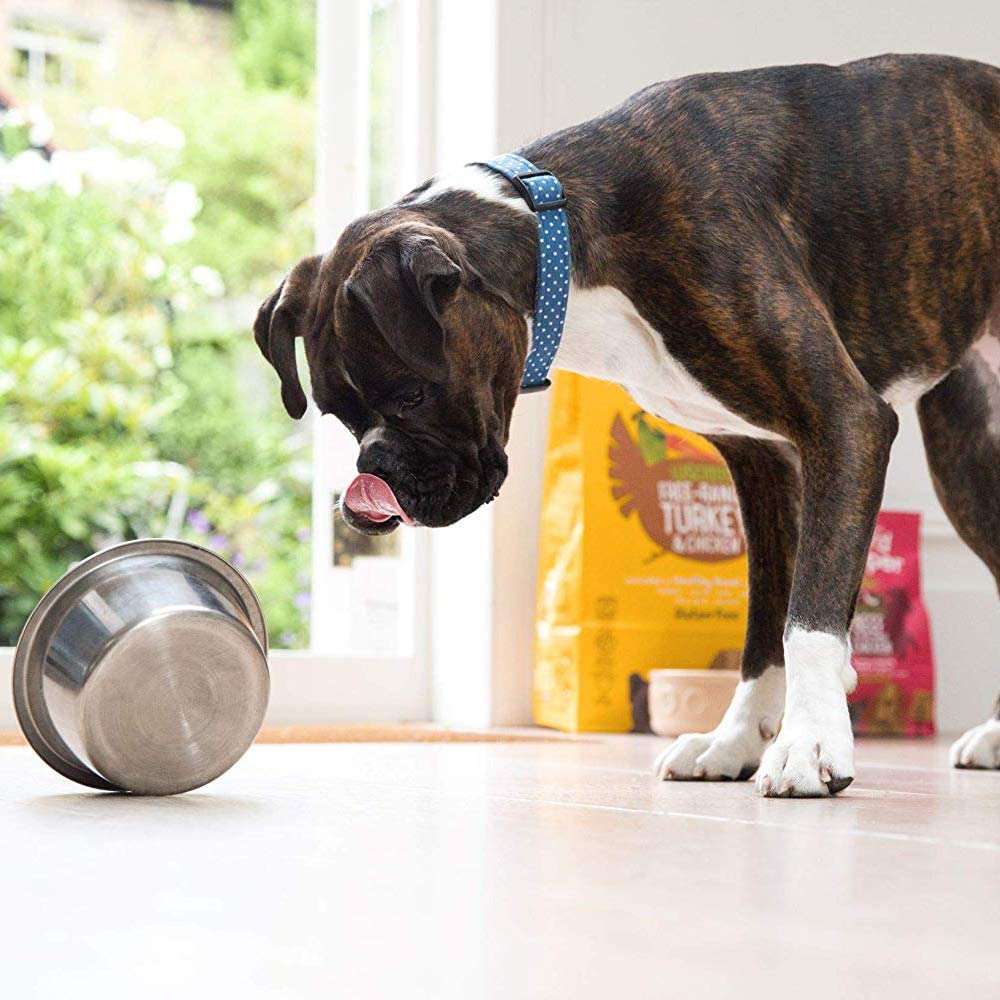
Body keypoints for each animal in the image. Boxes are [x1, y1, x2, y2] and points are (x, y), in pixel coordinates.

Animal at [254, 54, 1000, 792]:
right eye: (340, 418)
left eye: (412, 395)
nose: (370, 477)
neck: (572, 231)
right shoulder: (763, 462)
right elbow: (765, 623)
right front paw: (735, 741)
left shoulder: (844, 421)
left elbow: (808, 614)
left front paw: (809, 745)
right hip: (969, 462)